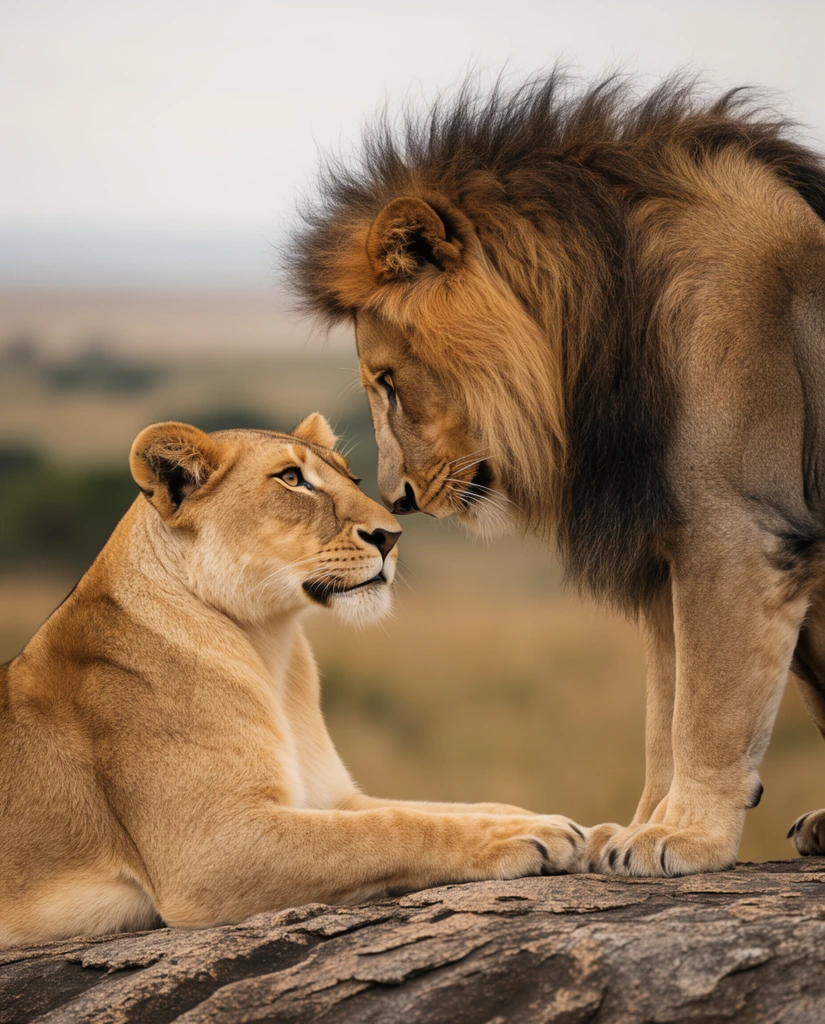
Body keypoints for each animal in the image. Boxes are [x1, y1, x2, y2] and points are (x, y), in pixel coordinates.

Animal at [0, 416, 586, 948]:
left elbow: (440, 807)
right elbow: (394, 828)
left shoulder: (329, 796)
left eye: (352, 477)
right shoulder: (212, 849)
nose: (392, 536)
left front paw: (569, 827)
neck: (271, 647)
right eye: (291, 479)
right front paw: (528, 836)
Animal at [289, 71, 825, 876]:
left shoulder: (732, 528)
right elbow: (665, 708)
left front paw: (683, 836)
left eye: (387, 380)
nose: (394, 499)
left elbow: (707, 709)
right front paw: (639, 824)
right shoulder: (665, 543)